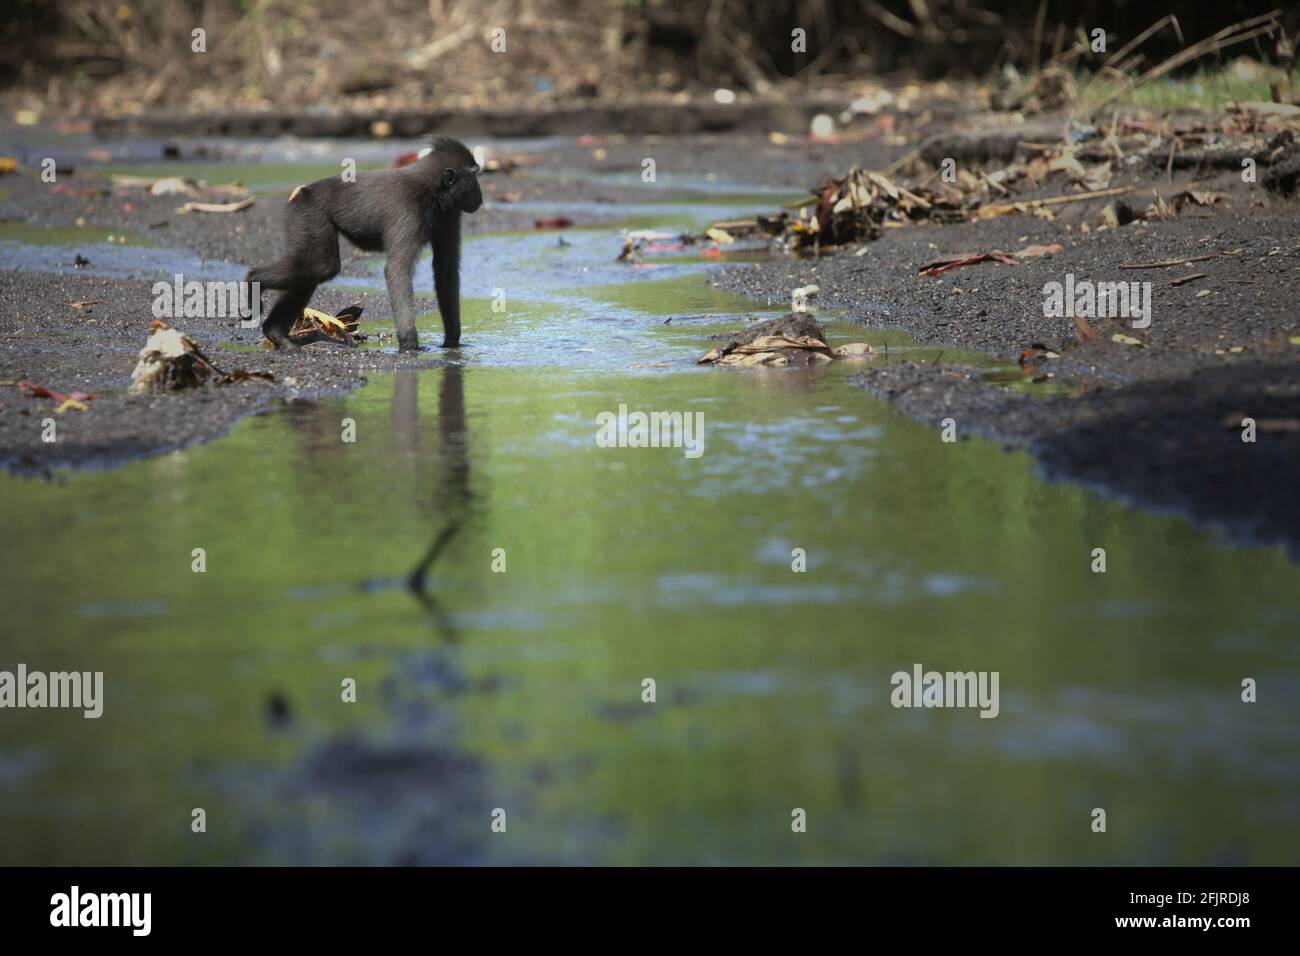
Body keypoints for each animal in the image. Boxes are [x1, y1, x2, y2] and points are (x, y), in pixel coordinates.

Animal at [246, 136, 482, 352]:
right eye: (475, 175)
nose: (480, 198)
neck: (430, 191)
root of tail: (301, 191)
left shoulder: (450, 213)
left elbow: (446, 269)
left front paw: (452, 341)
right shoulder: (408, 214)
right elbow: (397, 270)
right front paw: (409, 344)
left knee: (315, 269)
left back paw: (276, 334)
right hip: (308, 213)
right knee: (321, 266)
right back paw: (253, 281)